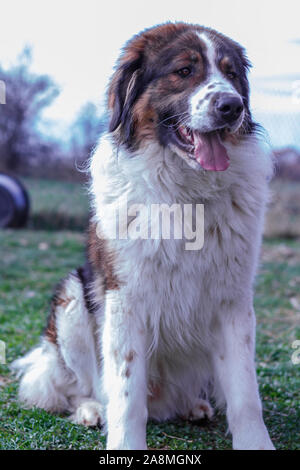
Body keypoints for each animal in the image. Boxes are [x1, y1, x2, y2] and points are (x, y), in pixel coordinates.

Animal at [12, 23, 274, 452]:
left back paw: (194, 405)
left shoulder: (232, 301)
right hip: (73, 300)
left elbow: (245, 394)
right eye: (184, 71)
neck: (186, 195)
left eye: (231, 73)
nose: (232, 106)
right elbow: (125, 392)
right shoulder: (124, 297)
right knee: (79, 386)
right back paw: (91, 409)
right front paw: (124, 444)